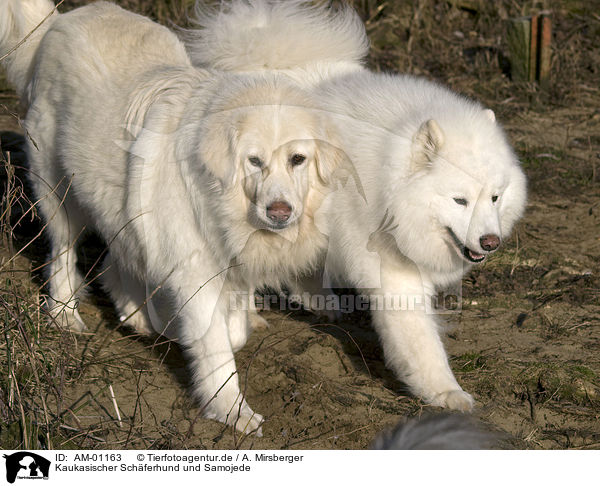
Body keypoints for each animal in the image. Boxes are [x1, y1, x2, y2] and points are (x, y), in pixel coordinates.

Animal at [190, 0, 528, 410]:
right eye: (459, 200)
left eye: (495, 197)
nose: (490, 242)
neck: (389, 183)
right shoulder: (393, 274)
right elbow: (420, 342)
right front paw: (446, 392)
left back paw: (323, 304)